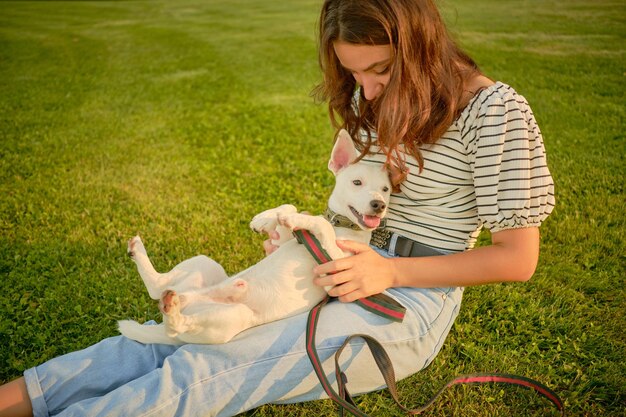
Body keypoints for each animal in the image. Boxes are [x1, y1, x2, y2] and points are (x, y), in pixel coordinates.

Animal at [118, 131, 390, 344]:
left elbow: (322, 225)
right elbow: (291, 208)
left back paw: (171, 309)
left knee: (174, 323)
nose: (379, 205)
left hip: (233, 316)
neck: (344, 226)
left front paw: (290, 219)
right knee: (156, 287)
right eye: (357, 182)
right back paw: (139, 252)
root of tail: (189, 299)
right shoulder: (285, 240)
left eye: (386, 189)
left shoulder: (337, 273)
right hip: (205, 264)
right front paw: (266, 219)